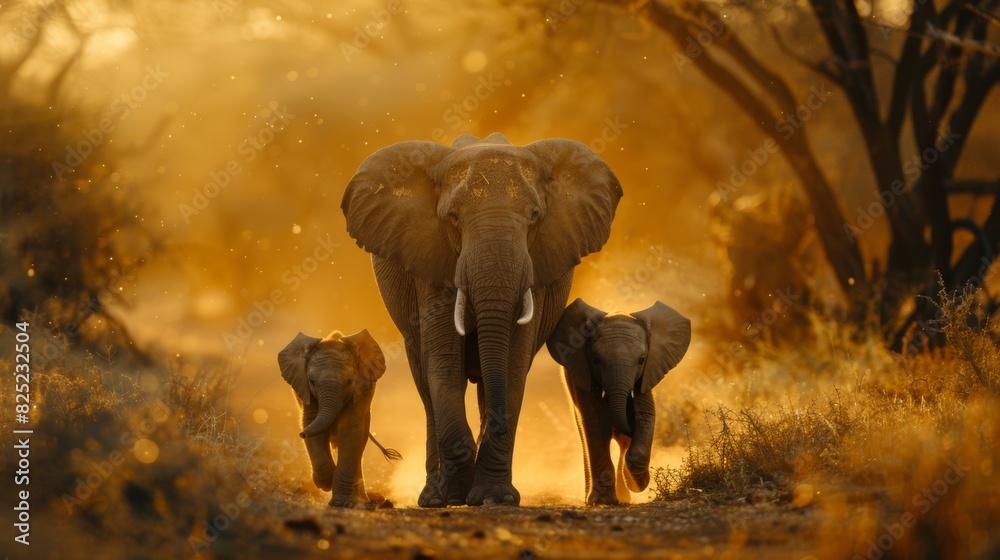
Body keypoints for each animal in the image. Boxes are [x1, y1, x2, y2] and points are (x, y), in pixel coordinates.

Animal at [278, 329, 400, 508]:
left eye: (350, 382)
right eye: (312, 381)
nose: (302, 434)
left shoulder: (362, 389)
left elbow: (350, 427)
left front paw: (340, 501)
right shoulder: (304, 389)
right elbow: (310, 421)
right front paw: (326, 483)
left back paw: (362, 501)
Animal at [341, 132, 622, 506]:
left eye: (535, 216)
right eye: (453, 218)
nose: (497, 426)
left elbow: (513, 364)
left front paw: (494, 497)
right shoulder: (432, 259)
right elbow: (444, 364)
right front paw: (454, 495)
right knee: (428, 386)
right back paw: (433, 496)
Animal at [546, 299, 690, 505]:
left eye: (641, 360)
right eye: (596, 359)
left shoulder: (646, 375)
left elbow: (645, 415)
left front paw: (635, 482)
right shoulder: (581, 375)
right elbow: (596, 423)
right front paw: (604, 501)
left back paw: (625, 495)